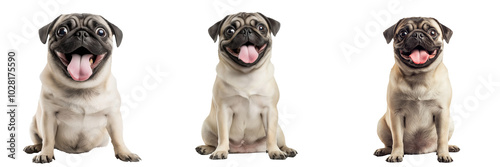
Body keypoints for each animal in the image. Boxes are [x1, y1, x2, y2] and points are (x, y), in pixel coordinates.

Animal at [23, 14, 140, 163]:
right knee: (40, 139)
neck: (82, 87)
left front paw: (124, 152)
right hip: (33, 124)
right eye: (62, 31)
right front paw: (45, 153)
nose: (82, 33)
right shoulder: (48, 116)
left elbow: (118, 137)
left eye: (101, 32)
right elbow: (48, 139)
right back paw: (35, 147)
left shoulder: (113, 116)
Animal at [195, 12, 296, 160]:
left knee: (279, 141)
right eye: (230, 31)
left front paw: (275, 151)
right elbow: (223, 135)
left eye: (261, 27)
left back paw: (286, 150)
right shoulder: (224, 110)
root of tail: (245, 149)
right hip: (206, 128)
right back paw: (206, 148)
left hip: (279, 130)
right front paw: (221, 151)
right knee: (213, 142)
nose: (246, 30)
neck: (246, 73)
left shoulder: (270, 111)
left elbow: (271, 136)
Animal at [376, 17, 460, 162]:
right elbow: (397, 139)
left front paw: (444, 154)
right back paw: (384, 150)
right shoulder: (396, 114)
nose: (418, 34)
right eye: (403, 33)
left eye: (432, 32)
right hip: (381, 125)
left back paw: (449, 148)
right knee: (389, 143)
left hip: (450, 123)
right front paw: (396, 154)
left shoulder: (442, 113)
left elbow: (442, 139)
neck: (419, 76)